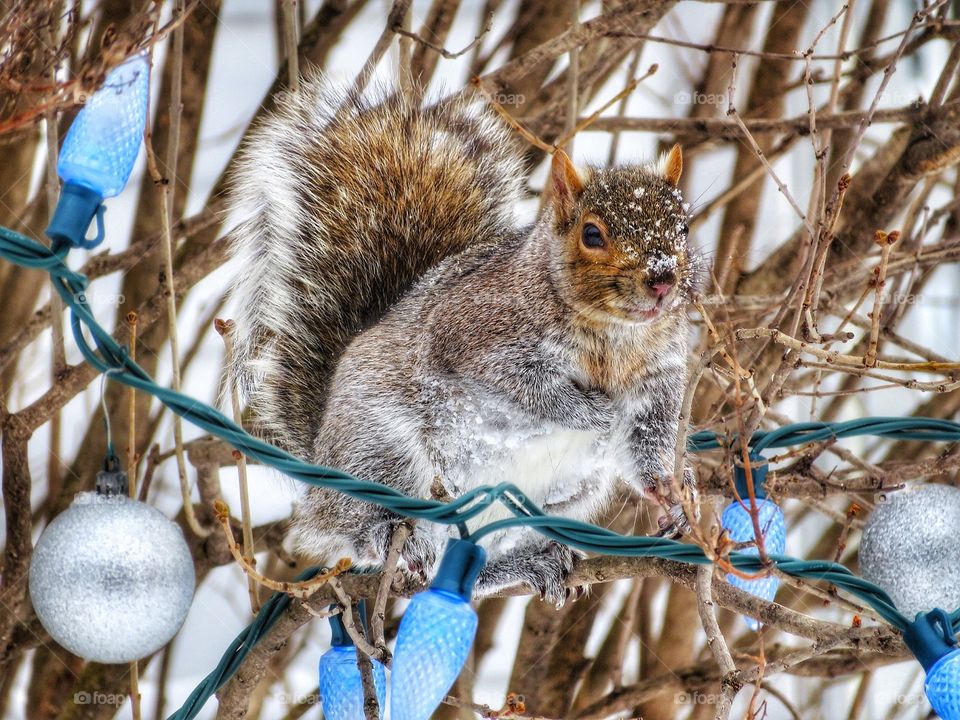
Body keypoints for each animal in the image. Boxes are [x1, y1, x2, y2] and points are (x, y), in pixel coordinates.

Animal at [228, 77, 700, 608]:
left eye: (684, 227)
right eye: (592, 234)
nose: (662, 278)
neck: (615, 337)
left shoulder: (661, 380)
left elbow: (650, 444)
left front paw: (675, 493)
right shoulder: (470, 337)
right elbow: (529, 388)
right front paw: (593, 414)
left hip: (558, 498)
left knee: (466, 563)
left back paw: (533, 562)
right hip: (385, 455)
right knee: (365, 529)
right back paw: (393, 536)